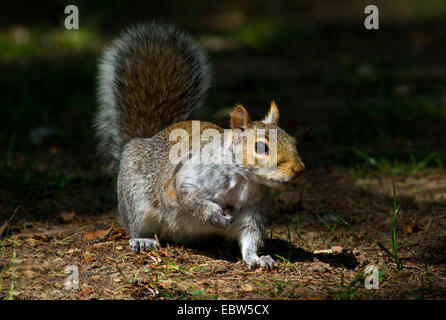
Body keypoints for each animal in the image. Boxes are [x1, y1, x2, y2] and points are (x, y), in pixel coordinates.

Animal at [92, 21, 304, 268]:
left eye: (293, 141)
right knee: (134, 224)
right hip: (134, 199)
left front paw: (257, 259)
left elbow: (249, 237)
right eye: (261, 147)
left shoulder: (253, 211)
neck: (244, 180)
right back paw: (142, 240)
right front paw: (215, 216)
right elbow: (191, 200)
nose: (299, 169)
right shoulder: (186, 179)